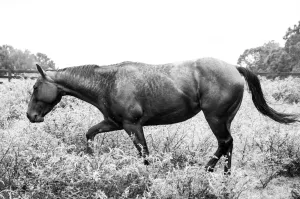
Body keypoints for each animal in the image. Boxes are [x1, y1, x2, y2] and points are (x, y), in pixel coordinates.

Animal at [27, 57, 298, 173]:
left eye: (36, 87)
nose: (30, 116)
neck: (109, 82)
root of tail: (234, 67)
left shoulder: (132, 125)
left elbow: (145, 155)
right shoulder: (113, 123)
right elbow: (89, 134)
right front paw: (92, 160)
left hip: (215, 118)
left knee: (225, 142)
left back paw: (207, 170)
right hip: (225, 119)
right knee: (229, 145)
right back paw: (224, 175)